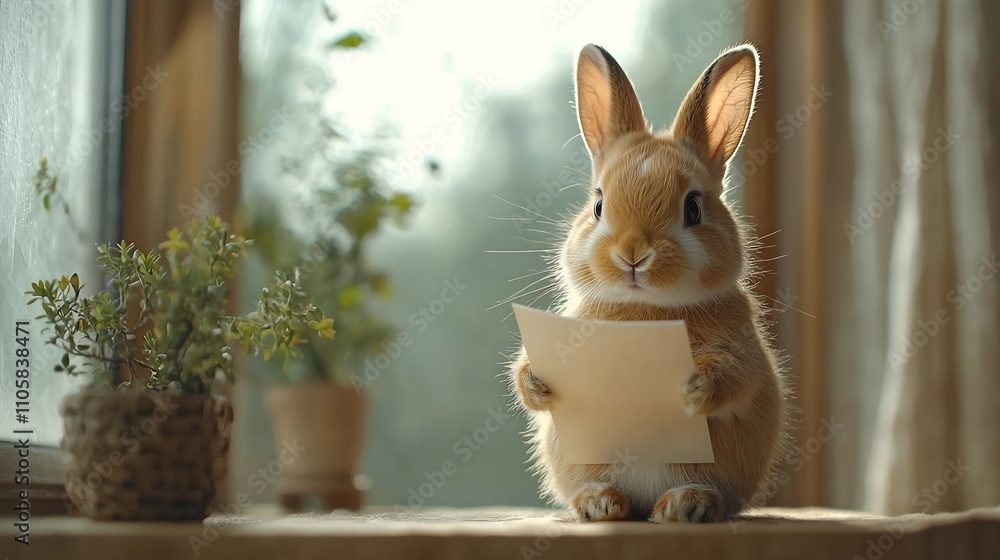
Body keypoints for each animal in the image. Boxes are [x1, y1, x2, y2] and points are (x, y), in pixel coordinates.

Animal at [508, 43, 790, 523]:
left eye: (693, 208)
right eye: (598, 205)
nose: (633, 254)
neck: (648, 308)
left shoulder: (742, 350)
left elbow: (735, 379)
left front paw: (694, 390)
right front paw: (537, 385)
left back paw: (684, 505)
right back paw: (600, 503)